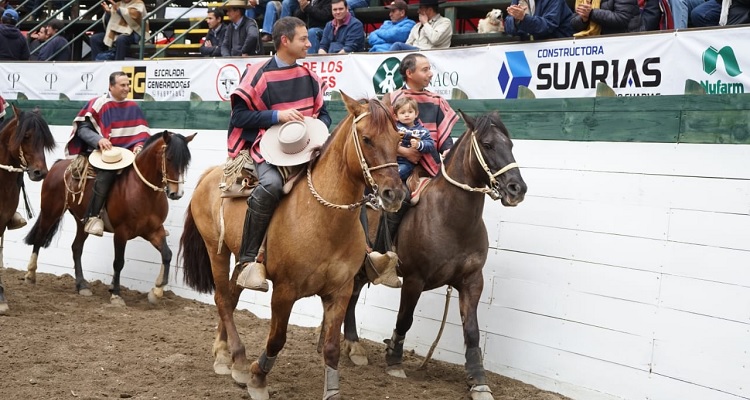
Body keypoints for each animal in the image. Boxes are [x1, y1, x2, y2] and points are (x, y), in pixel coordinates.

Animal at [180, 92, 408, 398]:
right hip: (215, 249)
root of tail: (211, 174)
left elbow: (332, 348)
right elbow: (277, 338)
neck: (324, 218)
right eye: (367, 138)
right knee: (223, 299)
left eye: (398, 138)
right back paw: (238, 361)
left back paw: (223, 353)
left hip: (241, 259)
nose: (394, 194)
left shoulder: (340, 291)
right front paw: (257, 378)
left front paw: (332, 390)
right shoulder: (284, 291)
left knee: (232, 294)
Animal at [342, 110, 524, 400]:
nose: (517, 188)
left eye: (511, 144)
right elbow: (405, 319)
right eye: (487, 145)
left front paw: (478, 380)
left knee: (354, 295)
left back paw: (353, 346)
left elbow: (472, 331)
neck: (451, 219)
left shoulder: (472, 281)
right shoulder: (414, 280)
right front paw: (394, 360)